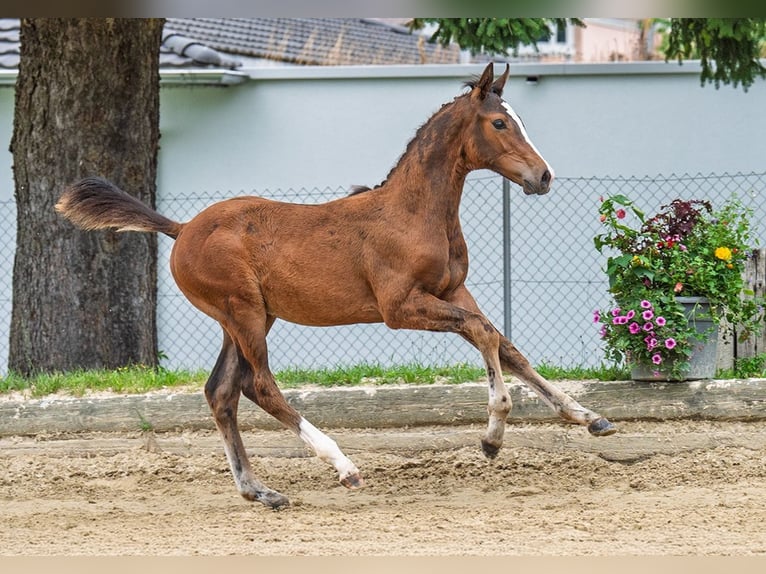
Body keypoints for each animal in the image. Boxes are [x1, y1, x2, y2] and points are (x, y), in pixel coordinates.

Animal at [55, 62, 616, 509]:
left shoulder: (453, 292)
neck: (414, 212)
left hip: (245, 318)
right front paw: (493, 435)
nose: (543, 177)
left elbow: (505, 344)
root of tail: (182, 229)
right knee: (259, 386)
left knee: (222, 392)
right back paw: (342, 466)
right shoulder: (400, 307)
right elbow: (483, 334)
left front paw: (588, 417)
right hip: (244, 312)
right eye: (499, 122)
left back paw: (259, 490)